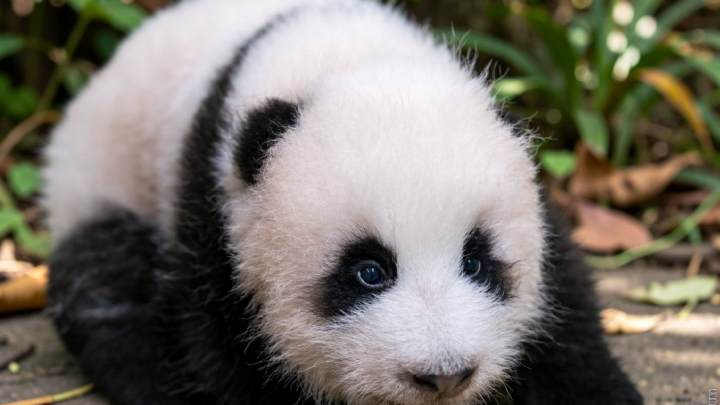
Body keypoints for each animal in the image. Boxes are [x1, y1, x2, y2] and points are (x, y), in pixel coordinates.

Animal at [42, 0, 643, 404]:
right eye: (369, 271)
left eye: (476, 261)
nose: (444, 375)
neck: (346, 59)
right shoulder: (213, 215)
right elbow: (226, 354)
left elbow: (566, 306)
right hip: (106, 176)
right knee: (106, 282)